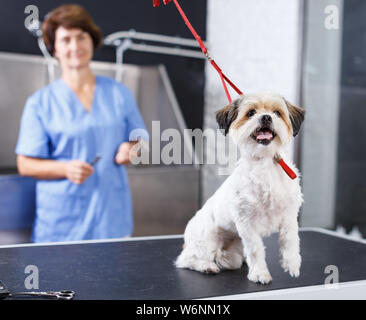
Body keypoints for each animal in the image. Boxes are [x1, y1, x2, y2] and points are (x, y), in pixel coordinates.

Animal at [176, 94, 304, 284]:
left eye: (277, 112)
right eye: (251, 113)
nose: (266, 117)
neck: (265, 162)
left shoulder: (289, 214)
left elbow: (290, 239)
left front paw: (292, 263)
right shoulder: (246, 221)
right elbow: (255, 249)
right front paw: (260, 273)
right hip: (207, 239)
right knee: (186, 260)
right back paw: (206, 266)